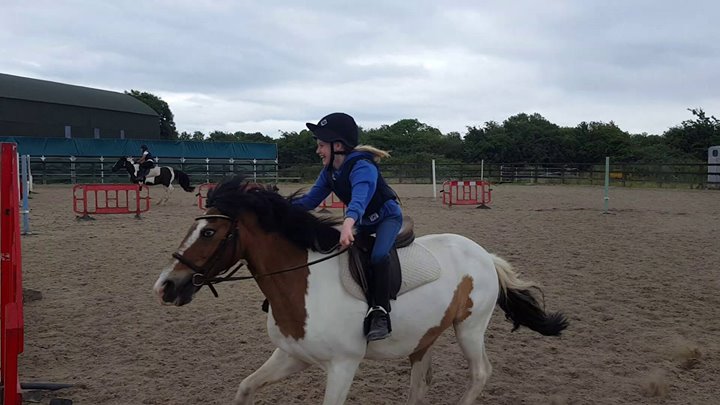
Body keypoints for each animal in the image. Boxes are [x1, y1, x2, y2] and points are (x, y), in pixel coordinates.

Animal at [153, 176, 568, 405]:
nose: (166, 286)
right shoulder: (292, 356)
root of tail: (484, 255)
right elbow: (244, 389)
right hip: (426, 337)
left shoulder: (343, 366)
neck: (303, 286)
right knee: (419, 387)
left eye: (209, 232)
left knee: (480, 373)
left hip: (469, 328)